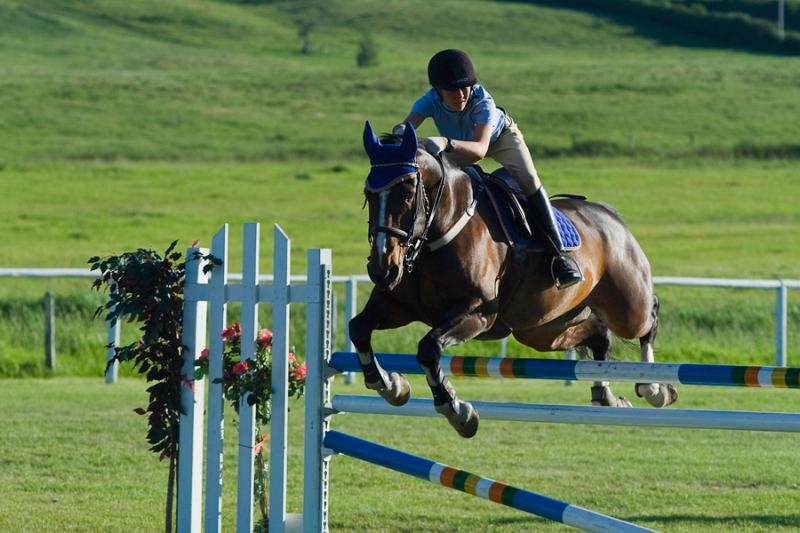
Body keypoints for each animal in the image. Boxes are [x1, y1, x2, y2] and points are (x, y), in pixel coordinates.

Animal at [350, 121, 676, 436]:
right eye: (368, 194)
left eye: (406, 194)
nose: (382, 269)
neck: (434, 236)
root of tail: (611, 217)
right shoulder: (397, 305)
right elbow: (358, 329)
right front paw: (391, 385)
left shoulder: (477, 313)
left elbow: (429, 349)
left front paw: (457, 412)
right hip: (543, 330)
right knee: (599, 336)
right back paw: (605, 396)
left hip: (626, 306)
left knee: (648, 318)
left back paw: (655, 388)